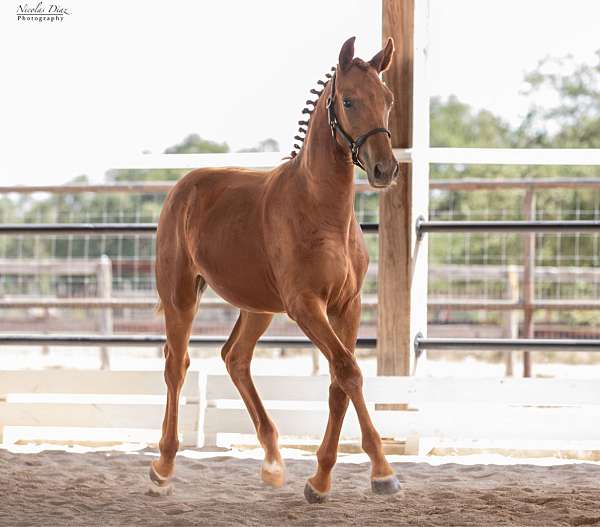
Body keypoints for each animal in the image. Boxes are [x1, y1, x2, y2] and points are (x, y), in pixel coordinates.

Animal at [151, 37, 398, 504]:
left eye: (388, 99)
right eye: (349, 101)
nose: (385, 169)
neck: (323, 211)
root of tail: (182, 188)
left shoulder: (347, 306)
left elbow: (340, 382)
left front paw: (320, 481)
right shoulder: (305, 306)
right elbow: (349, 372)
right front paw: (382, 472)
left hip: (258, 307)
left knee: (236, 358)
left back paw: (272, 461)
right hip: (181, 298)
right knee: (177, 365)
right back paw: (163, 466)